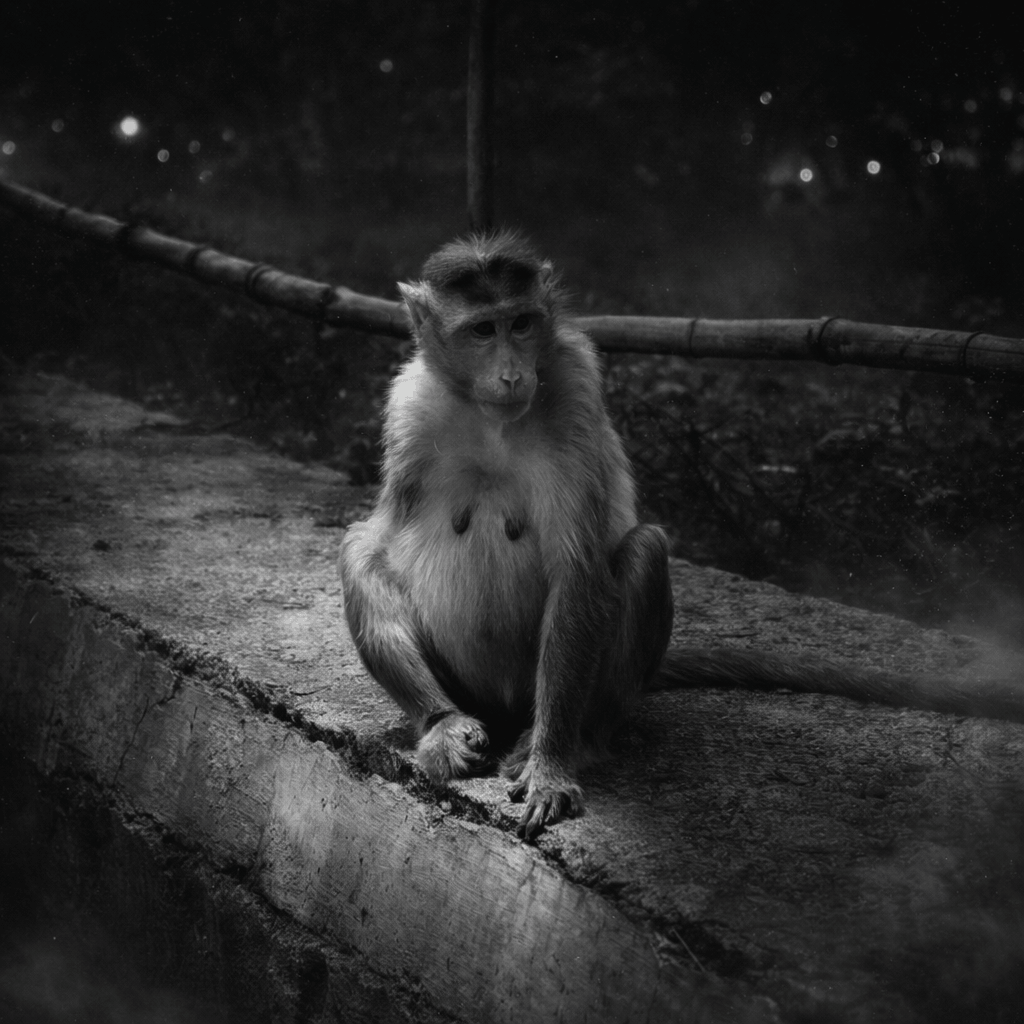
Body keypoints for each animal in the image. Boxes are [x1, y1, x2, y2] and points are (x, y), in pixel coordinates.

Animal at [340, 231, 1024, 840]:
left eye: (523, 324)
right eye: (483, 331)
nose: (511, 374)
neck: (491, 418)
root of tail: (509, 709)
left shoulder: (574, 388)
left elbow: (579, 569)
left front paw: (551, 766)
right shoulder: (409, 405)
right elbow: (375, 540)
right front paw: (441, 725)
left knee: (642, 553)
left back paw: (571, 737)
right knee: (357, 551)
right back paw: (444, 720)